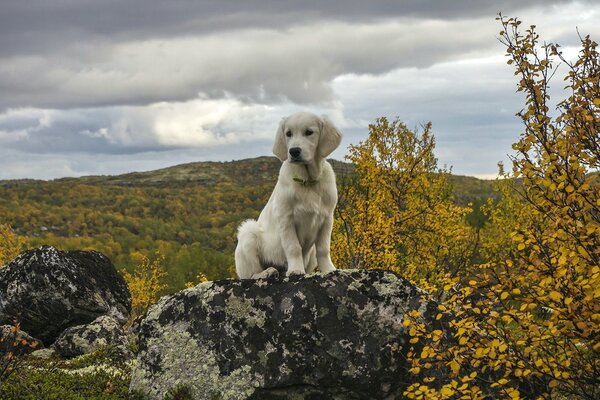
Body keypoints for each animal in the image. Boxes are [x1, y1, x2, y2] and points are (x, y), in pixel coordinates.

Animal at [237, 109, 344, 278]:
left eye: (309, 132)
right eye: (288, 133)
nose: (294, 151)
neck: (307, 181)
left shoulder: (327, 218)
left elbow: (323, 248)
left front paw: (329, 269)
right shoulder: (286, 218)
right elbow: (293, 247)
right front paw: (295, 270)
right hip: (249, 233)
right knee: (251, 274)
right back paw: (267, 272)